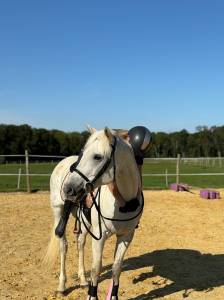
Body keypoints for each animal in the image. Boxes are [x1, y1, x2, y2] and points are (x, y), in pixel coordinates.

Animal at [44, 127, 143, 300]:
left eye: (97, 157)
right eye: (83, 153)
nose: (68, 189)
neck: (125, 202)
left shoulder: (126, 236)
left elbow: (117, 268)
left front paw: (113, 296)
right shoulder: (99, 236)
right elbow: (96, 268)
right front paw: (92, 295)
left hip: (83, 220)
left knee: (80, 243)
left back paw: (83, 280)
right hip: (58, 212)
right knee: (63, 246)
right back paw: (62, 286)